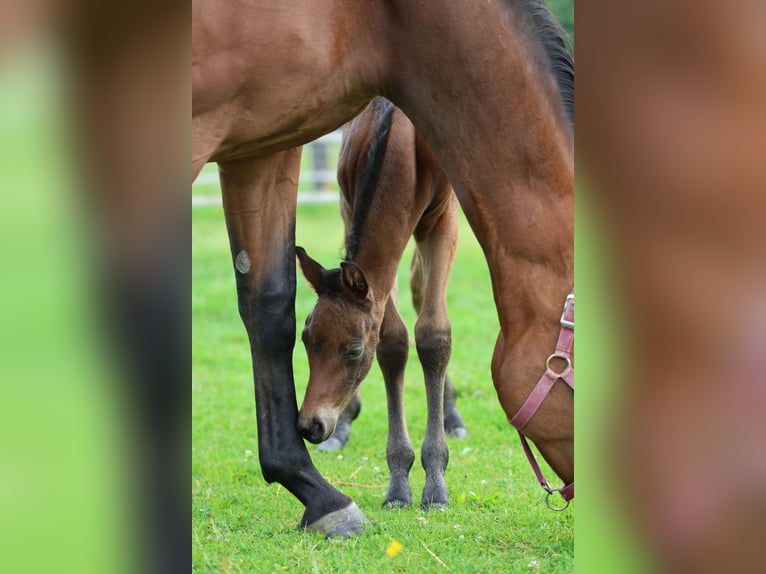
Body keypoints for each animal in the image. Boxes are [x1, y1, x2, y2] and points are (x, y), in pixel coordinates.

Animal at [296, 98, 462, 508]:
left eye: (354, 351)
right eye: (305, 341)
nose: (310, 425)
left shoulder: (442, 219)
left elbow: (433, 335)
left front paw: (435, 481)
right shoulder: (348, 206)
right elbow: (393, 341)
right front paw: (399, 480)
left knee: (420, 291)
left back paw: (452, 415)